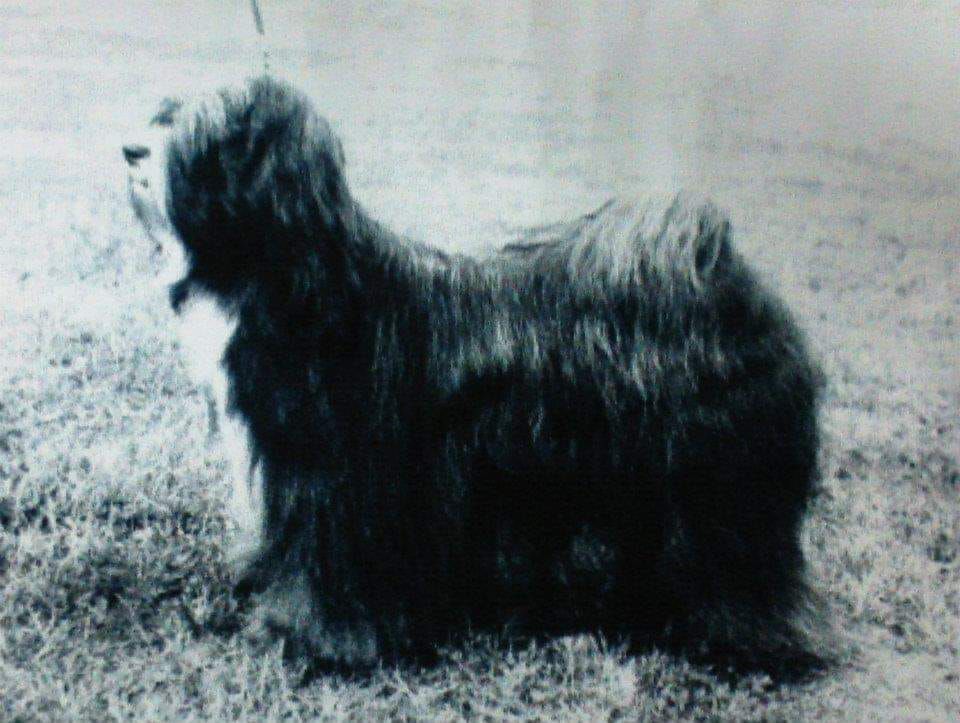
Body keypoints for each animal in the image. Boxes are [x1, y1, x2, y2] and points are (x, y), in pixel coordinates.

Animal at [124, 78, 828, 672]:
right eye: (165, 112)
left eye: (208, 131)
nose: (131, 148)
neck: (310, 290)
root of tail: (724, 277)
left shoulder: (342, 486)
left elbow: (331, 573)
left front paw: (318, 639)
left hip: (722, 488)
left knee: (740, 565)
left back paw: (740, 639)